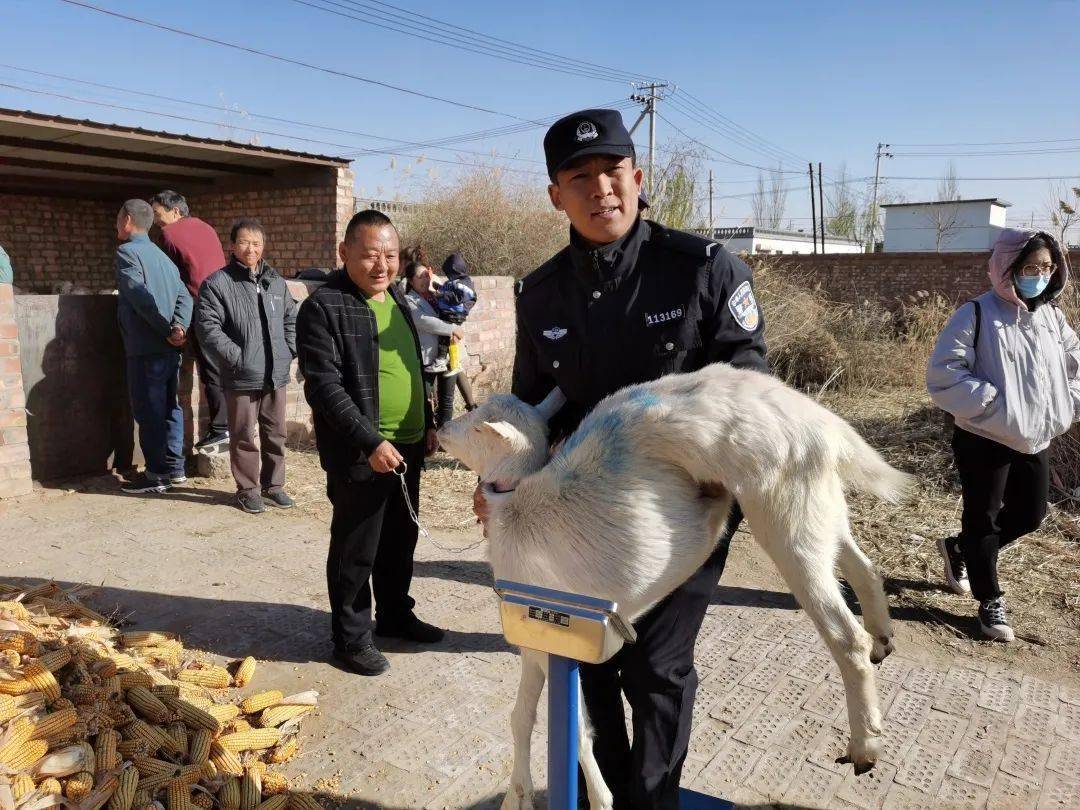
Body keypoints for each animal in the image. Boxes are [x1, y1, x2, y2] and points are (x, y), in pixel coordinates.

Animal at [434, 362, 907, 810]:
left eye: (477, 423)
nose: (440, 428)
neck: (513, 507)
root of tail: (824, 425)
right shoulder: (534, 642)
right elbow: (522, 716)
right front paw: (517, 796)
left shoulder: (550, 631)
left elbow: (577, 730)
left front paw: (600, 798)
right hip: (818, 508)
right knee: (863, 566)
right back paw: (883, 637)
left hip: (782, 510)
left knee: (846, 637)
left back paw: (865, 745)